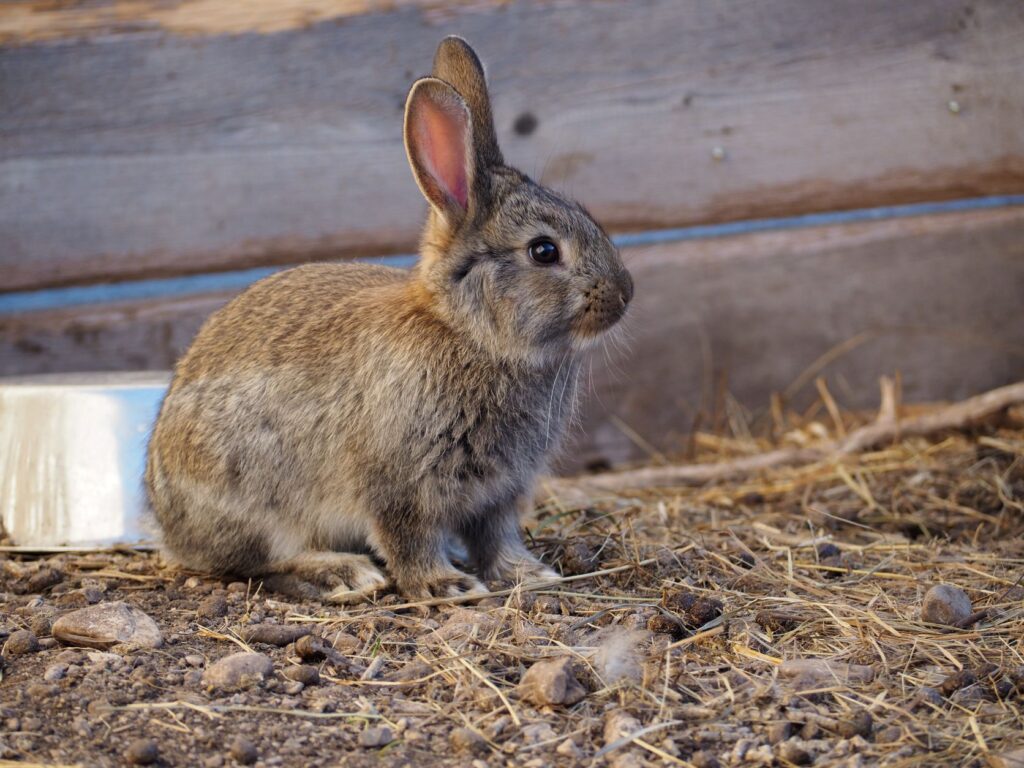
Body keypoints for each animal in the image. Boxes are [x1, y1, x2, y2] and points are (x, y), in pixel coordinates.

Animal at [145, 36, 633, 601]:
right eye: (543, 250)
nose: (625, 294)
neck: (469, 334)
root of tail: (167, 524)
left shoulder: (498, 493)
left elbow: (496, 537)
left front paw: (528, 573)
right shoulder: (398, 484)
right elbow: (408, 538)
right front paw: (447, 586)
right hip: (253, 498)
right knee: (266, 559)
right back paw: (345, 571)